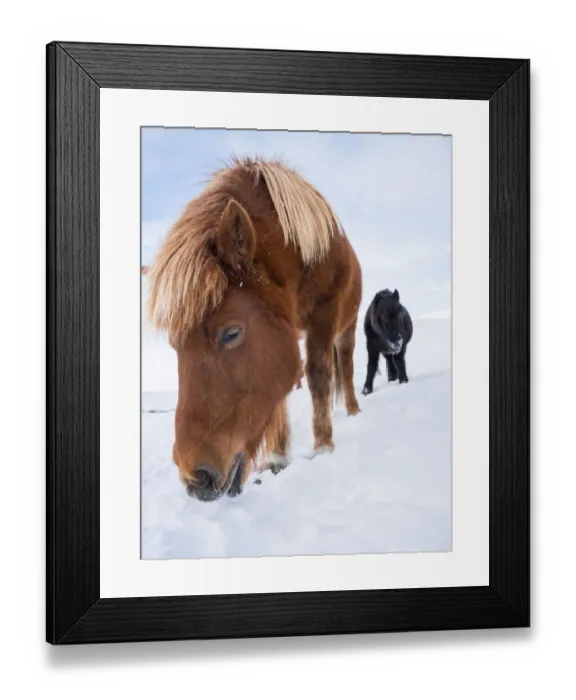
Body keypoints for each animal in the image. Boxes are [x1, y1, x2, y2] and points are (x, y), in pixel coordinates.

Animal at [145, 156, 362, 502]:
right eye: (174, 346)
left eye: (231, 333)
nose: (195, 479)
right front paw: (277, 457)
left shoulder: (323, 315)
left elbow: (318, 376)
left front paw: (324, 447)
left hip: (346, 328)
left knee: (347, 368)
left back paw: (353, 411)